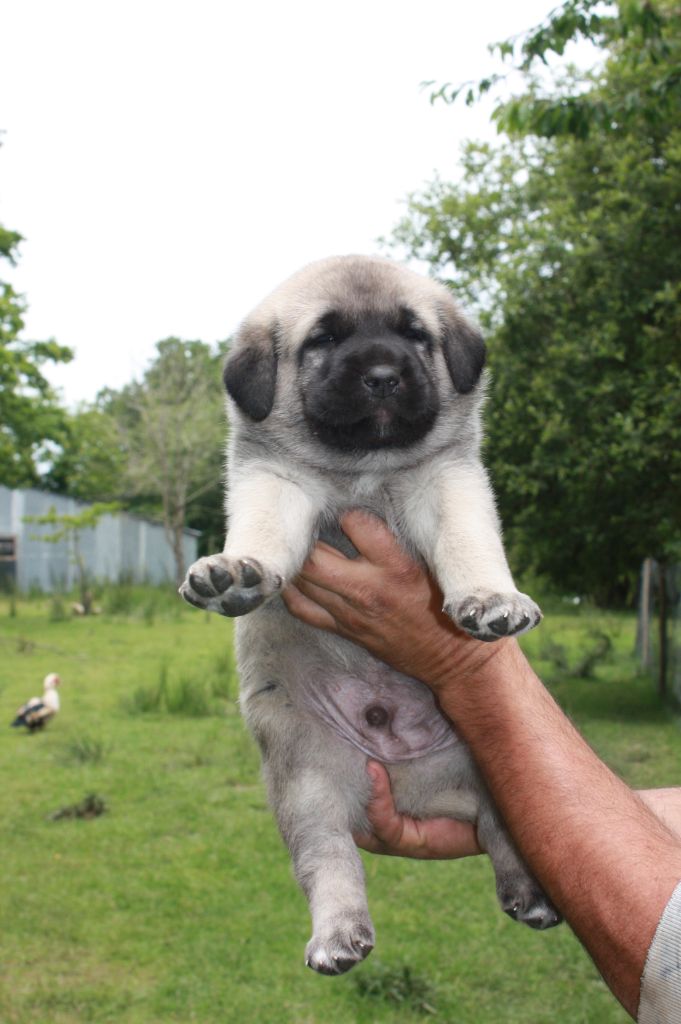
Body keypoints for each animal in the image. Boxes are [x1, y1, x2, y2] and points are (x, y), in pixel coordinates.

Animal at [180, 256, 557, 974]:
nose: (382, 375)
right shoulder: (276, 483)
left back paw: (531, 892)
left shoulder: (449, 484)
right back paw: (337, 934)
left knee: (505, 835)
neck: (362, 470)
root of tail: (414, 784)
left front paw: (491, 599)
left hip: (498, 771)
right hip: (308, 785)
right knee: (330, 860)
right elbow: (263, 532)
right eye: (323, 340)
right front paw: (236, 571)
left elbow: (469, 543)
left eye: (414, 334)